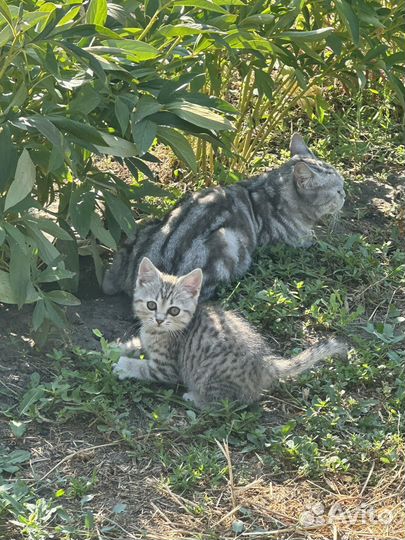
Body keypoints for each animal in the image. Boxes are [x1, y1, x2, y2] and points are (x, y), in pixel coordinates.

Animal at [102, 131, 344, 300]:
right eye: (337, 190)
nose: (345, 193)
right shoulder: (296, 242)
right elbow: (319, 240)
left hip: (136, 225)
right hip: (226, 241)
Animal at [112, 260, 346, 408]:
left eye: (174, 310)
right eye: (151, 305)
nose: (159, 319)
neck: (156, 332)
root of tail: (266, 363)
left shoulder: (167, 368)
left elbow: (145, 368)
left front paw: (124, 365)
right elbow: (135, 344)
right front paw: (113, 348)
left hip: (209, 376)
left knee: (224, 404)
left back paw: (194, 398)